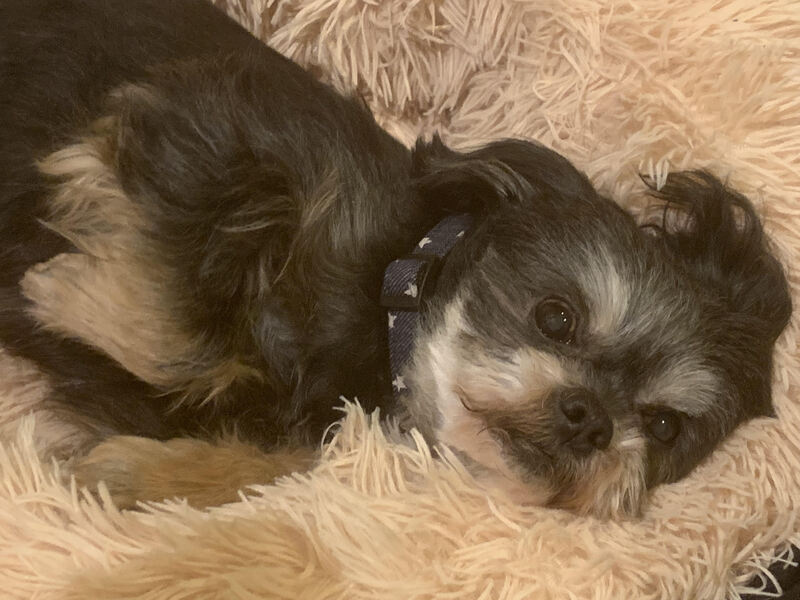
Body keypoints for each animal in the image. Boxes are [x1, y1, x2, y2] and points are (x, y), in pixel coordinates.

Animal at [0, 0, 791, 518]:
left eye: (663, 428)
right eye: (556, 316)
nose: (590, 419)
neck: (385, 288)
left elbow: (284, 453)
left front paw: (131, 474)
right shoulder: (203, 121)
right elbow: (177, 331)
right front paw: (63, 290)